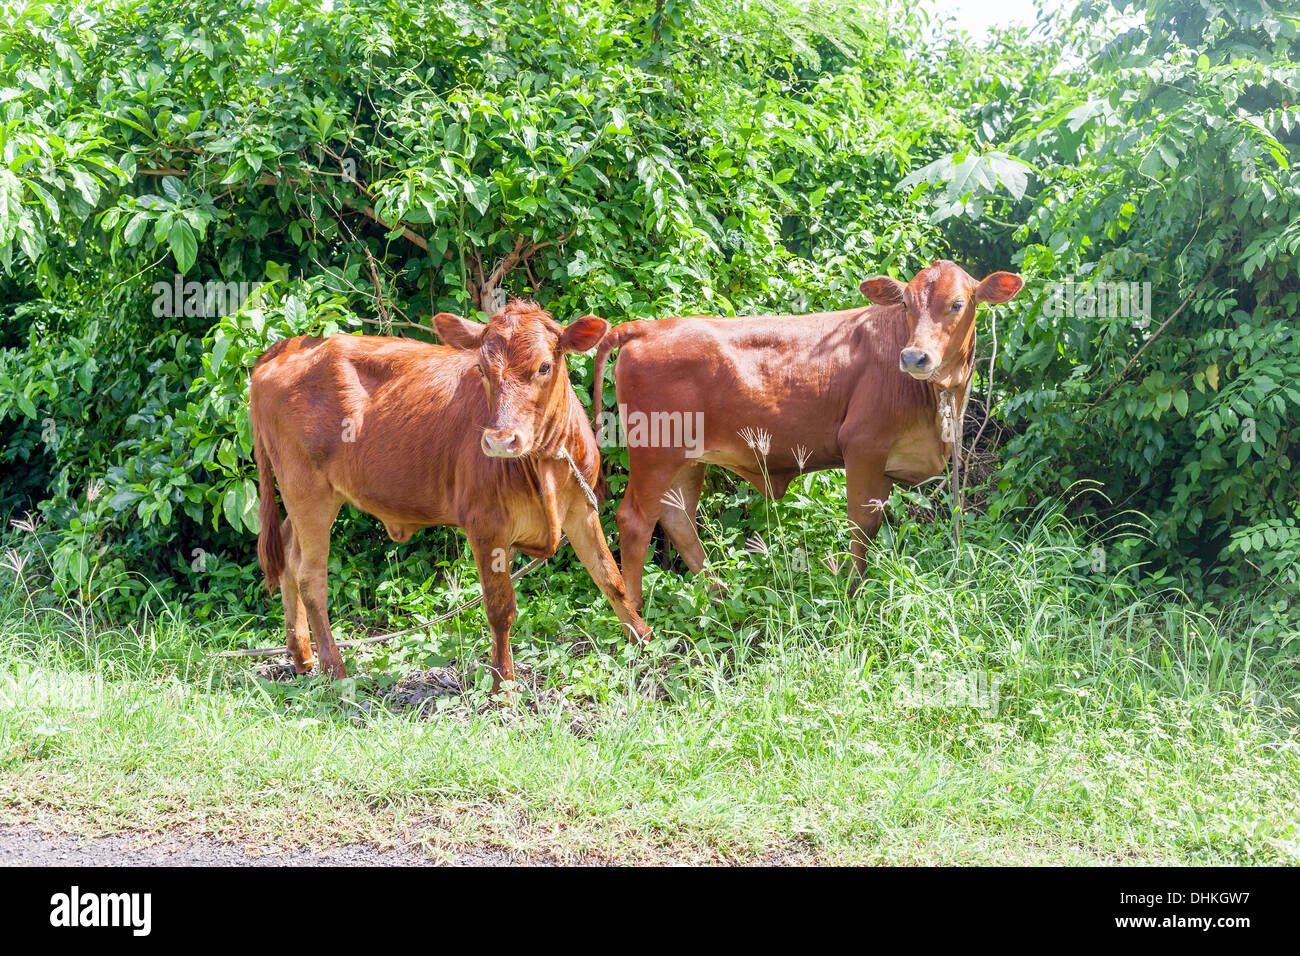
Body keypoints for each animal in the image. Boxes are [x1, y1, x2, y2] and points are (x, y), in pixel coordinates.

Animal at [248, 295, 650, 691]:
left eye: (544, 367)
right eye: (482, 370)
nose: (500, 440)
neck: (545, 463)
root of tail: (289, 346)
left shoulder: (582, 506)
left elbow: (609, 576)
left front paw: (644, 639)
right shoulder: (486, 524)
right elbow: (500, 607)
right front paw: (503, 684)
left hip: (309, 496)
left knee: (288, 555)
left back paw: (303, 658)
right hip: (307, 490)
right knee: (310, 575)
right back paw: (335, 670)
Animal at [592, 257, 1024, 608]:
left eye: (957, 304)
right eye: (906, 304)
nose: (914, 357)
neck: (937, 406)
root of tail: (645, 327)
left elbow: (874, 522)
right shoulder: (863, 446)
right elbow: (861, 524)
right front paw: (851, 593)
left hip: (687, 458)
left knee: (677, 517)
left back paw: (721, 596)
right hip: (655, 453)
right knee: (635, 520)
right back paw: (637, 621)